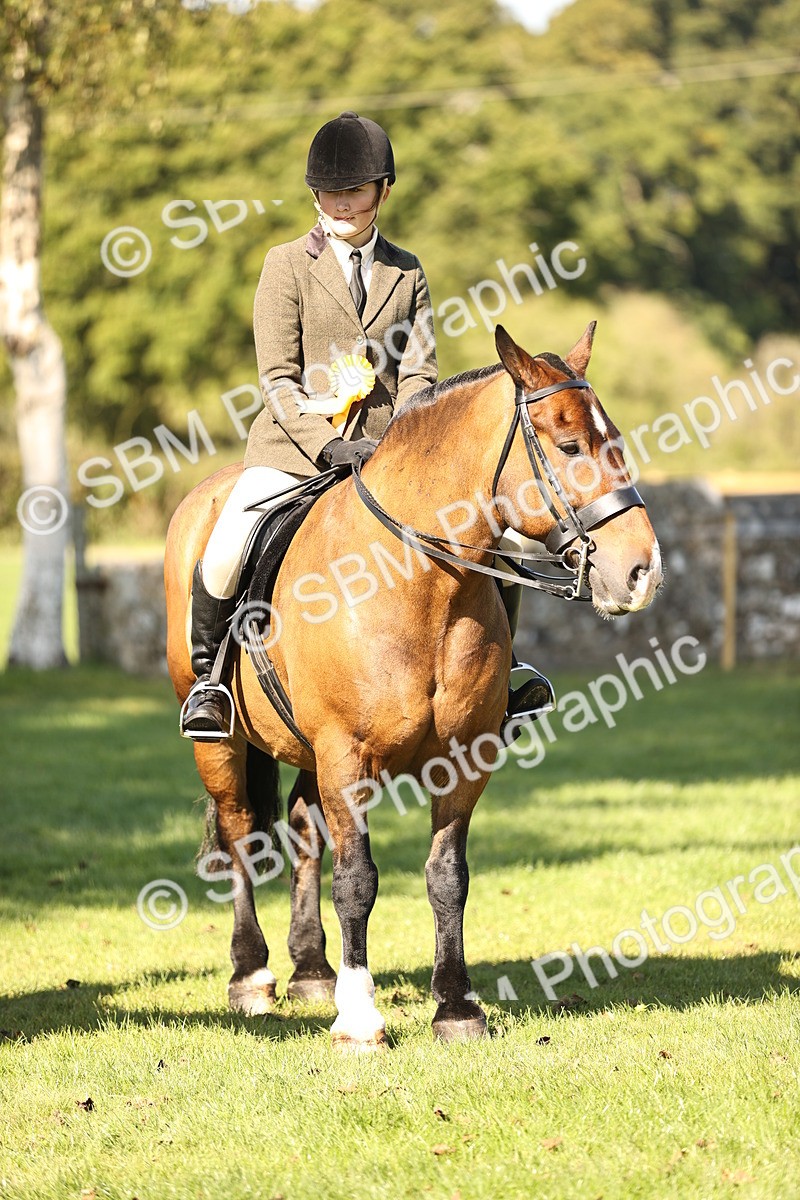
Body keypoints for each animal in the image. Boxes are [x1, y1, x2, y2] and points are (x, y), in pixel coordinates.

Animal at [164, 322, 662, 1050]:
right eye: (569, 447)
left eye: (615, 440)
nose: (642, 572)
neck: (419, 584)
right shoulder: (346, 754)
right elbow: (358, 880)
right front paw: (360, 1020)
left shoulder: (464, 757)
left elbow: (446, 877)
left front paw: (455, 1007)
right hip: (222, 745)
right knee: (241, 835)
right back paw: (251, 975)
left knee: (303, 828)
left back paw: (313, 969)